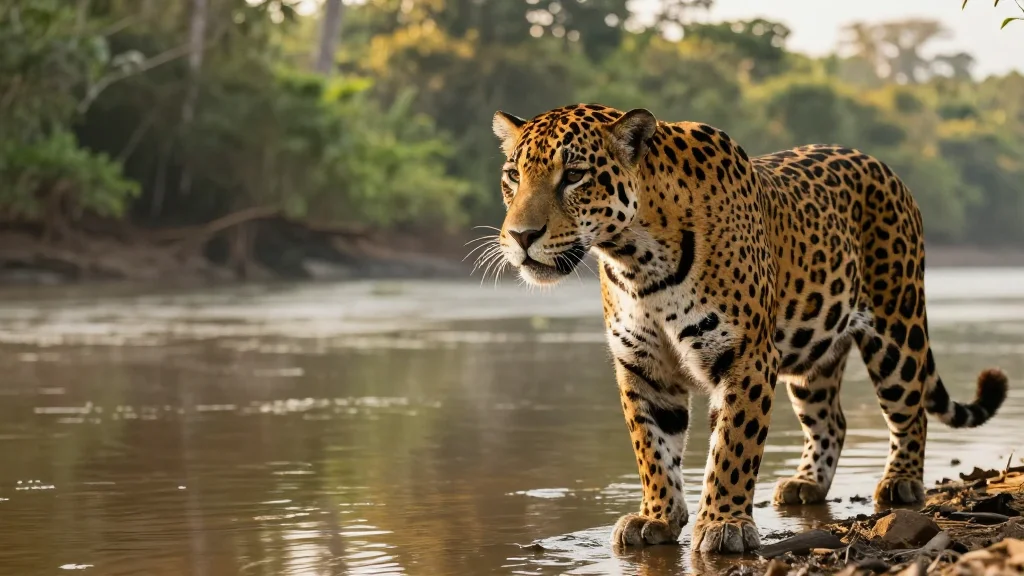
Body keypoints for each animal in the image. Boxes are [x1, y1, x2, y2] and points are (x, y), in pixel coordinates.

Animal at [487, 103, 1009, 554]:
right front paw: (657, 517)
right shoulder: (643, 364)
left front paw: (724, 526)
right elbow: (652, 448)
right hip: (814, 350)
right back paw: (806, 483)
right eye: (513, 176)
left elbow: (733, 448)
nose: (520, 236)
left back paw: (900, 481)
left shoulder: (745, 356)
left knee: (910, 408)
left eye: (574, 175)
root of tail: (881, 165)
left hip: (896, 325)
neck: (636, 260)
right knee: (832, 421)